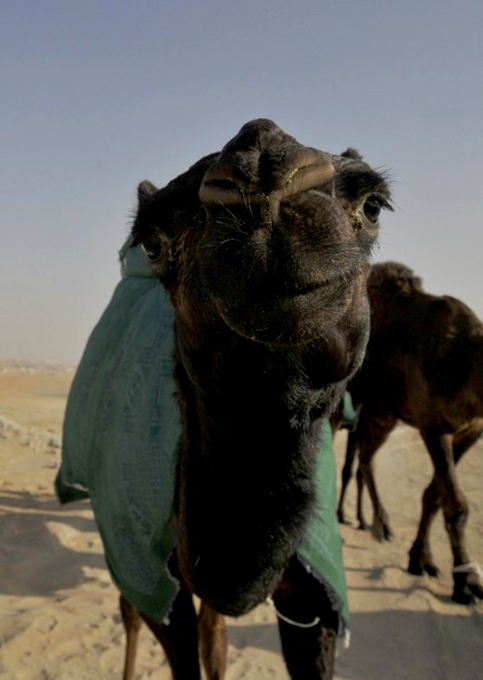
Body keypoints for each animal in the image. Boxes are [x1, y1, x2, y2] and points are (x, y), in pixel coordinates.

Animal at [338, 262, 483, 604]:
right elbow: (456, 502)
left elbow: (434, 496)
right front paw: (467, 582)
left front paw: (421, 559)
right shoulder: (433, 423)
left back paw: (375, 523)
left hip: (383, 411)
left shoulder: (471, 430)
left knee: (364, 459)